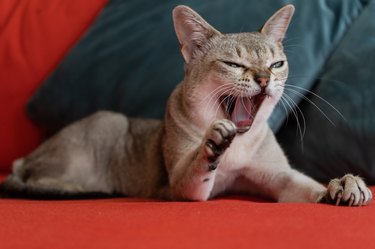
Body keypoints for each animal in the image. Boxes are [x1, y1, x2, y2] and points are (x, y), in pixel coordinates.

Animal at [0, 4, 374, 206]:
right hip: (105, 123)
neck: (238, 148)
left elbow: (307, 186)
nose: (264, 79)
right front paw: (212, 143)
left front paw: (341, 185)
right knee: (34, 178)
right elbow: (196, 165)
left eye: (276, 64)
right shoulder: (183, 186)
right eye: (234, 64)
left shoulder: (277, 177)